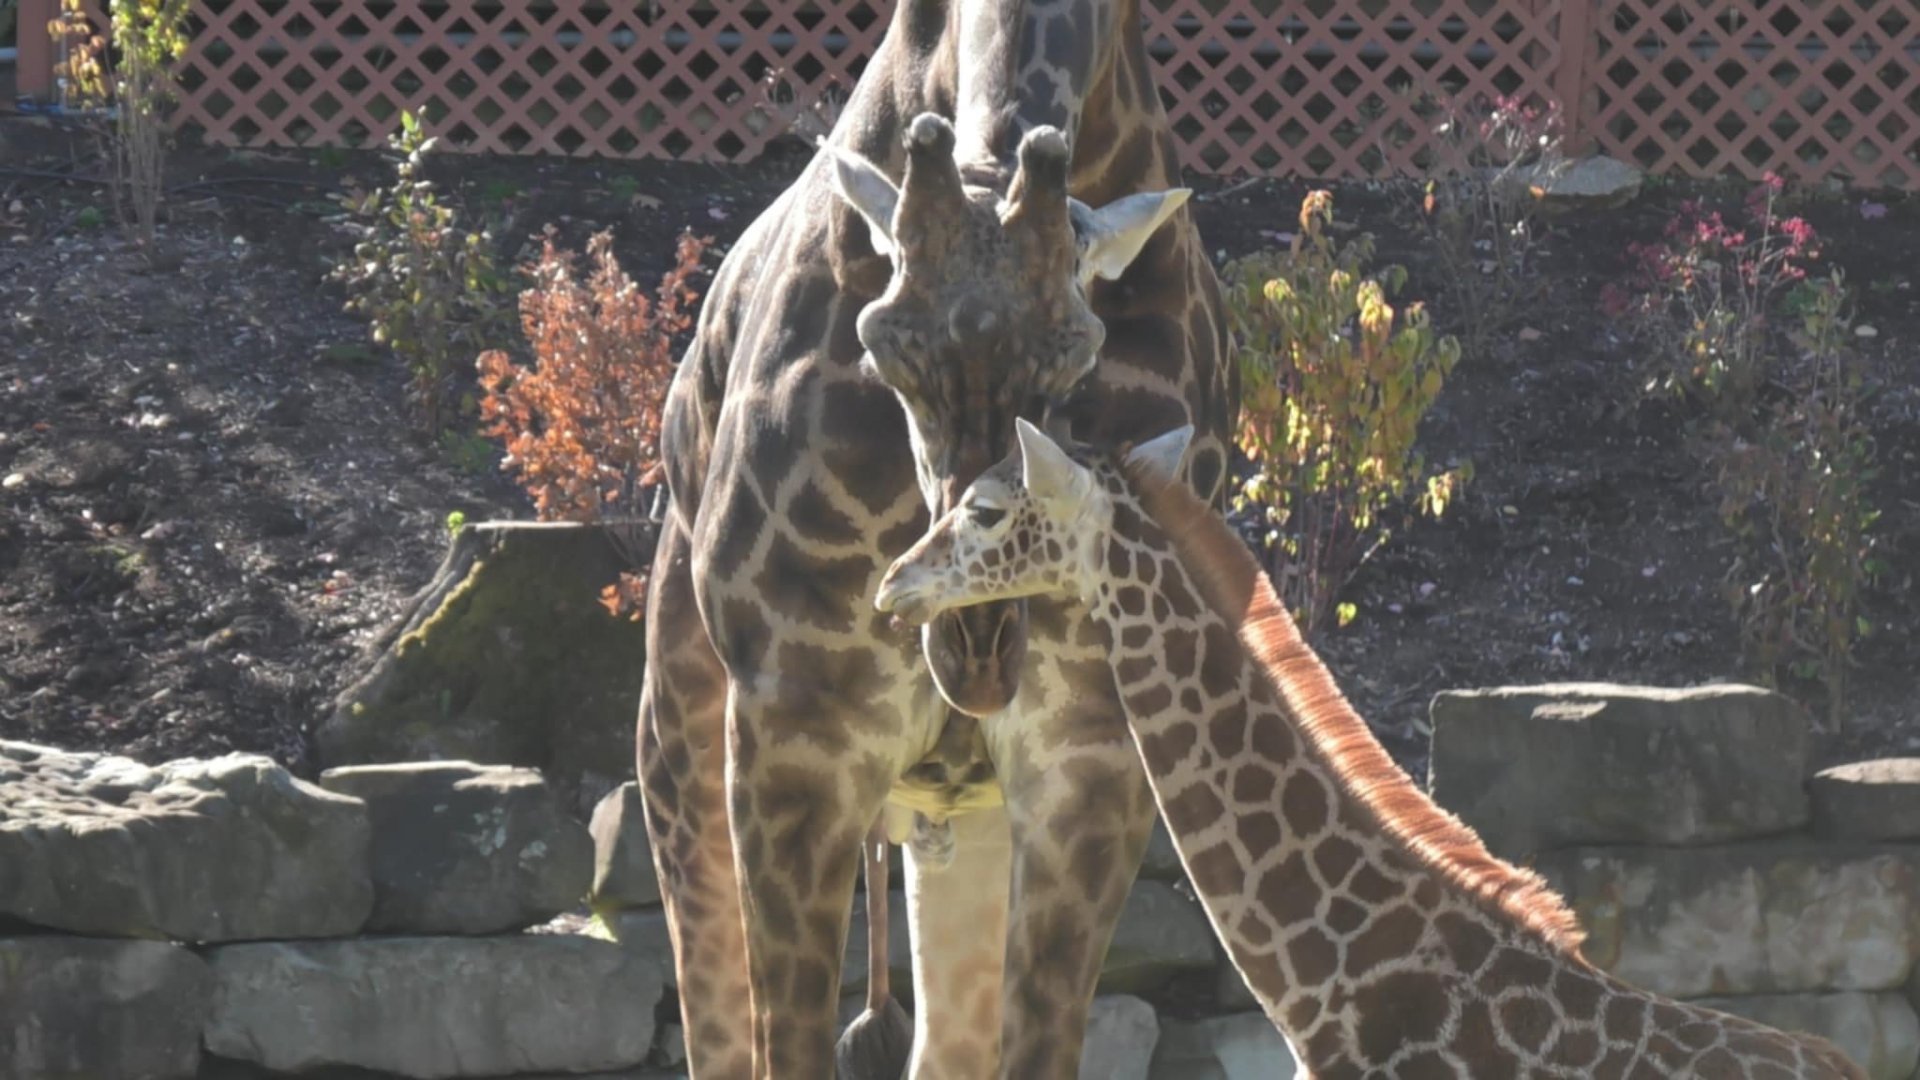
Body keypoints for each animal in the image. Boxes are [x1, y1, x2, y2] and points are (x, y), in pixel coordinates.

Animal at [636, 0, 1234, 1074]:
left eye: (1077, 358)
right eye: (886, 354)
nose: (977, 654)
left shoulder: (1093, 749)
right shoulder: (797, 730)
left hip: (965, 820)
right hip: (680, 745)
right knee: (714, 1019)